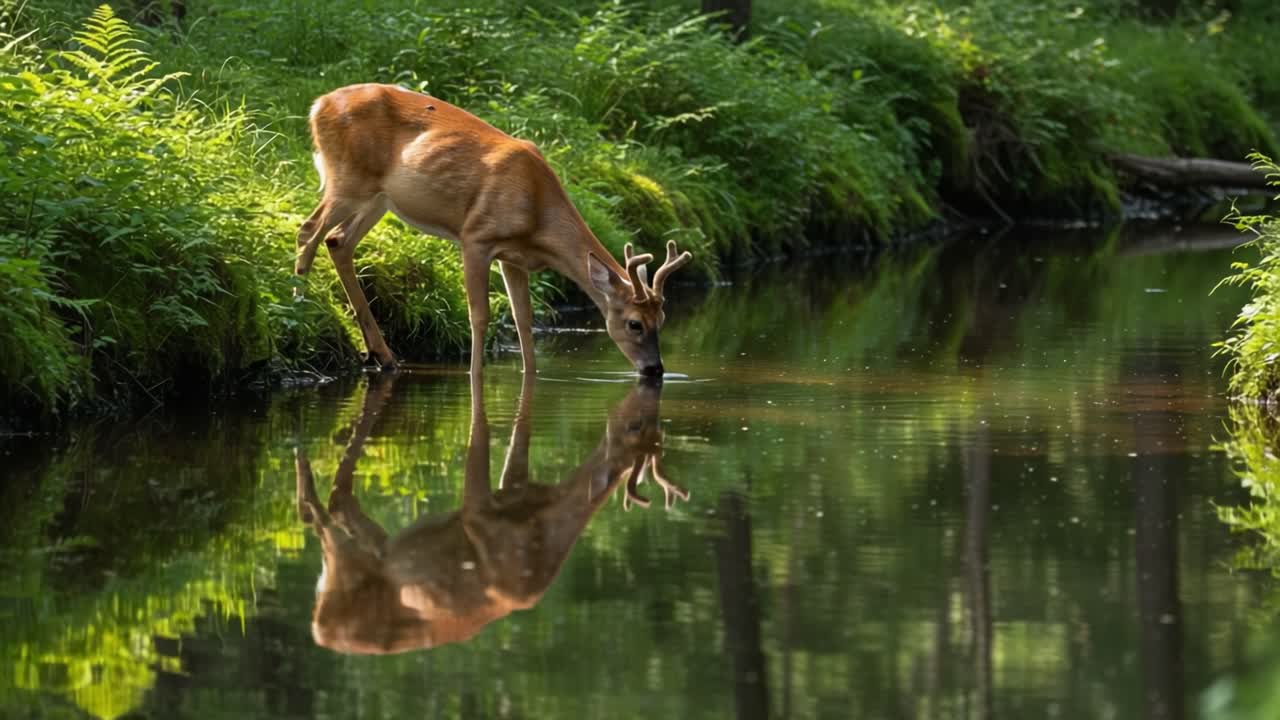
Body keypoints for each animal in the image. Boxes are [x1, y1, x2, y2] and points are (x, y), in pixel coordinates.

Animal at [293, 371, 688, 654]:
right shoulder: (480, 515)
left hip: (363, 558)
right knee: (330, 515)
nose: (654, 375)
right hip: (346, 571)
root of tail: (319, 631)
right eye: (635, 428)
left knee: (341, 513)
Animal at [294, 83, 694, 378]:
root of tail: (317, 105)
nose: (656, 370)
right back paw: (301, 311)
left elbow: (524, 319)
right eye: (634, 324)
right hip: (348, 181)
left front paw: (531, 374)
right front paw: (476, 374)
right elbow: (480, 315)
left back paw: (384, 356)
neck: (537, 213)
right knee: (308, 230)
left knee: (337, 241)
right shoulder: (476, 237)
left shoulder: (513, 258)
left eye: (662, 319)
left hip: (379, 198)